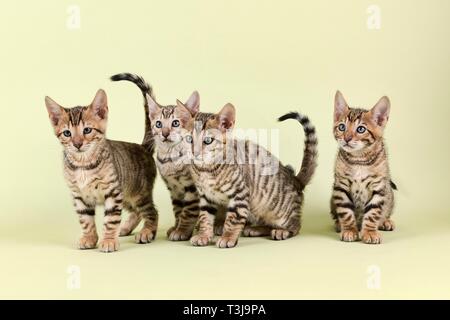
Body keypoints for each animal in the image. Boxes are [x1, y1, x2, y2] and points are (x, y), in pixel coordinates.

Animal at [45, 89, 158, 251]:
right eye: (67, 133)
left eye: (87, 130)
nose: (77, 144)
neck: (83, 165)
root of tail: (143, 148)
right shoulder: (79, 196)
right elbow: (85, 219)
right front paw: (89, 238)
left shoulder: (112, 192)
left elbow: (111, 219)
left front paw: (109, 240)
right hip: (126, 194)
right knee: (137, 212)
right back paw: (126, 228)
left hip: (139, 193)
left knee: (152, 211)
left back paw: (147, 232)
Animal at [111, 74, 208, 240]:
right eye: (158, 124)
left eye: (175, 123)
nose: (165, 133)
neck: (171, 158)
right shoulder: (174, 188)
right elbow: (178, 210)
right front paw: (177, 227)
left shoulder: (192, 188)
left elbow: (189, 211)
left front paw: (182, 231)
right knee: (139, 209)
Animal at [185, 104, 318, 249]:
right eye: (189, 139)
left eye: (208, 141)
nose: (195, 153)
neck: (205, 169)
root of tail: (296, 180)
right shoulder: (206, 196)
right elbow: (205, 217)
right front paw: (203, 235)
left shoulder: (239, 193)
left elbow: (234, 219)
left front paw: (228, 237)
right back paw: (255, 229)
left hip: (281, 214)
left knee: (296, 226)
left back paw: (281, 231)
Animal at [330, 90, 398, 245]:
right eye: (342, 127)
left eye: (361, 129)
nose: (347, 138)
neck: (359, 160)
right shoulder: (341, 186)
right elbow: (345, 211)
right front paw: (349, 230)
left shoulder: (378, 186)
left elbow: (373, 213)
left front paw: (370, 232)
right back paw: (339, 224)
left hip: (389, 194)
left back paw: (385, 222)